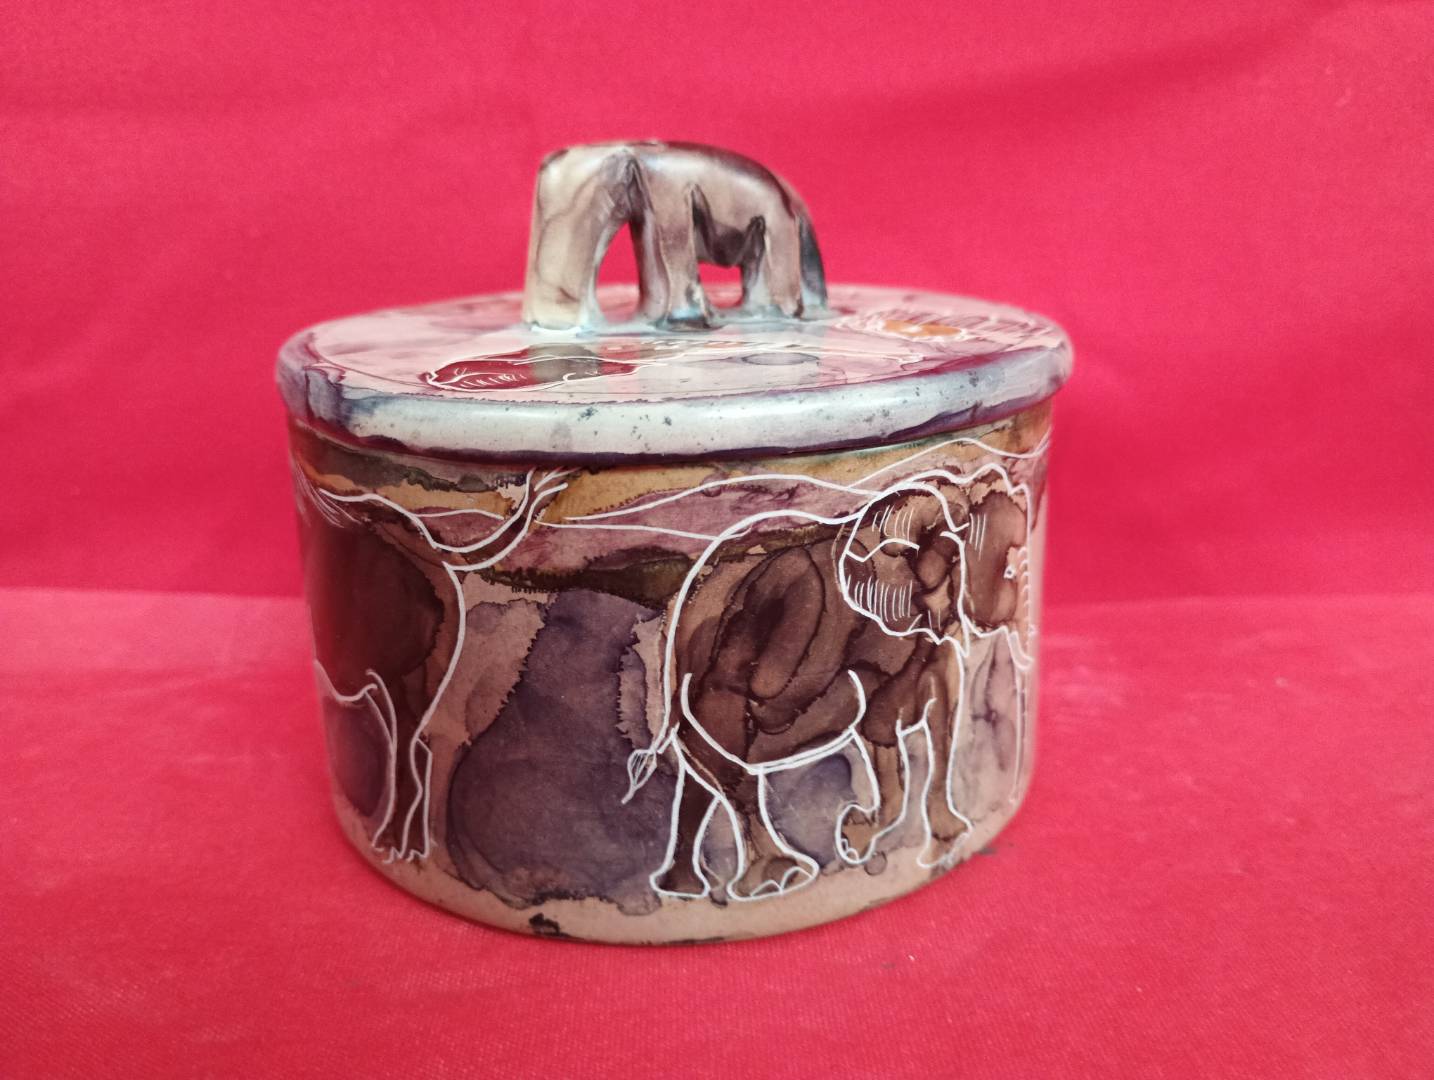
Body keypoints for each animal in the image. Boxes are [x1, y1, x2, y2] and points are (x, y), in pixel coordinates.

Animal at [624, 465, 1034, 902]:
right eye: (960, 555)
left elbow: (935, 720)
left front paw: (934, 835)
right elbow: (878, 724)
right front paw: (858, 836)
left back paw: (694, 889)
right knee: (731, 769)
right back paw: (779, 877)